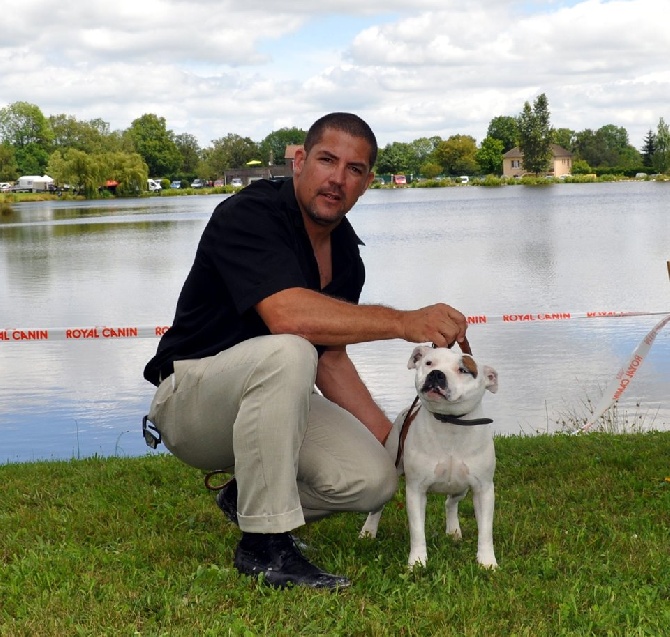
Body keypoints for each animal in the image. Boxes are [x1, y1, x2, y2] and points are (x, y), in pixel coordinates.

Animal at [362, 346, 498, 568]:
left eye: (463, 370)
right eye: (429, 363)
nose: (436, 374)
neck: (450, 423)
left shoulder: (483, 489)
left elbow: (485, 531)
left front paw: (487, 562)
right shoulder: (416, 490)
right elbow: (417, 531)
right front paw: (417, 562)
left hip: (462, 487)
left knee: (450, 503)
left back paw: (453, 531)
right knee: (378, 507)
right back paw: (368, 531)